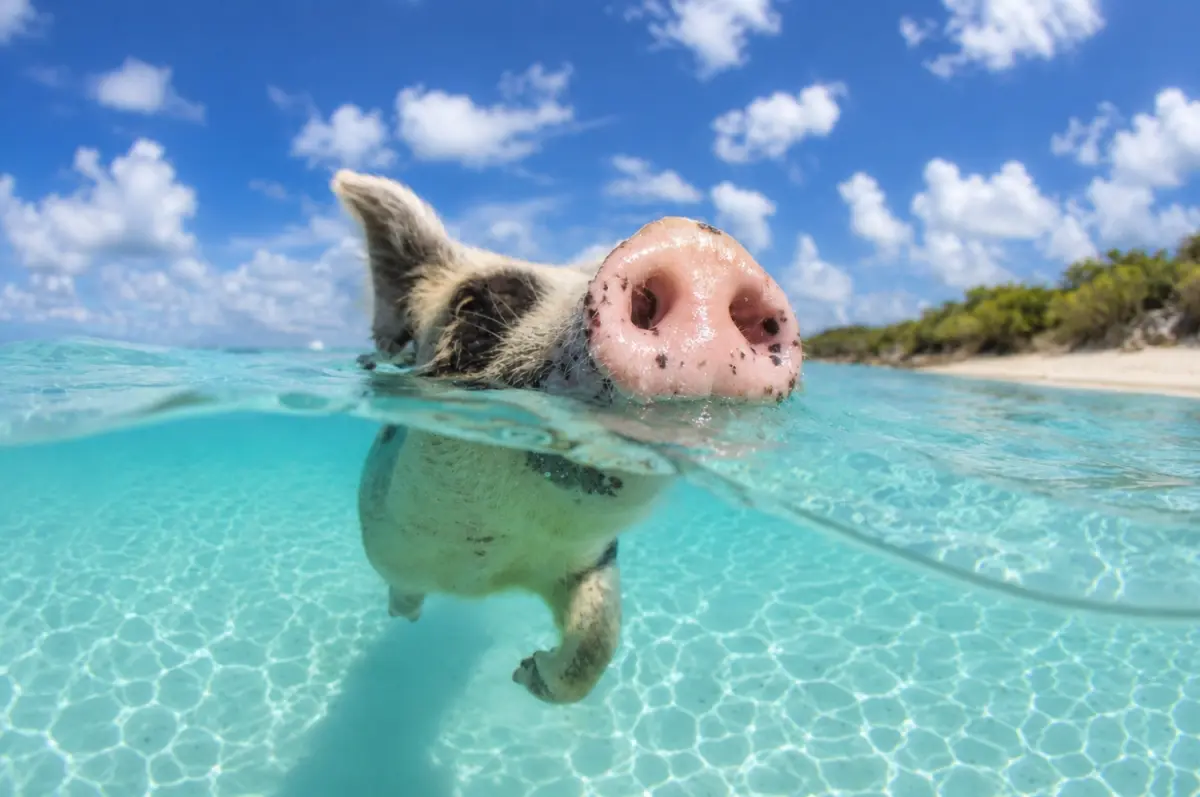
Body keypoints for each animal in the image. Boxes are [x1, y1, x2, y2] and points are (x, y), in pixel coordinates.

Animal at [332, 169, 803, 705]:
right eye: (478, 305)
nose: (698, 246)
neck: (490, 570)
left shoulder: (590, 560)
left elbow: (599, 637)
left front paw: (526, 672)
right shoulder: (391, 542)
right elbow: (402, 584)